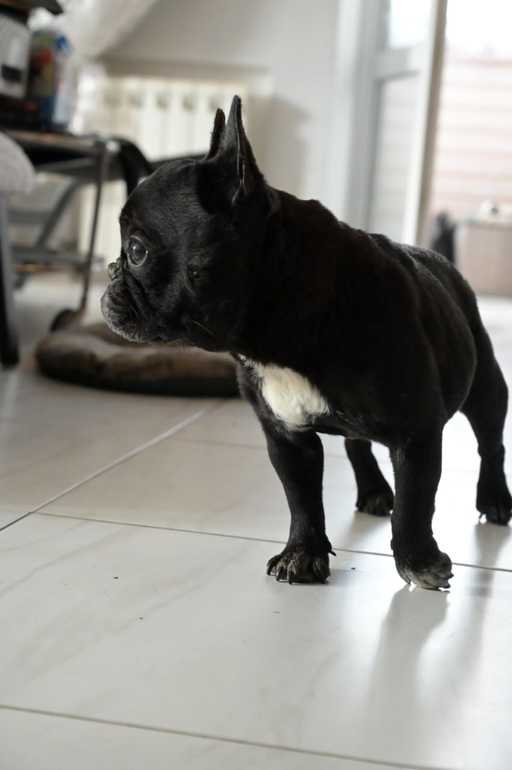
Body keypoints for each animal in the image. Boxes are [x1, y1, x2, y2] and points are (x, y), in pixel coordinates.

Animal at [102, 95, 512, 590]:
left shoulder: (416, 434)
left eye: (137, 250)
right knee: (357, 444)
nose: (110, 270)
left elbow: (415, 504)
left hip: (485, 384)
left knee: (490, 440)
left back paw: (495, 498)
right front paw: (302, 554)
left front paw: (418, 562)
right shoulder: (286, 435)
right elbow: (301, 498)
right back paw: (374, 490)